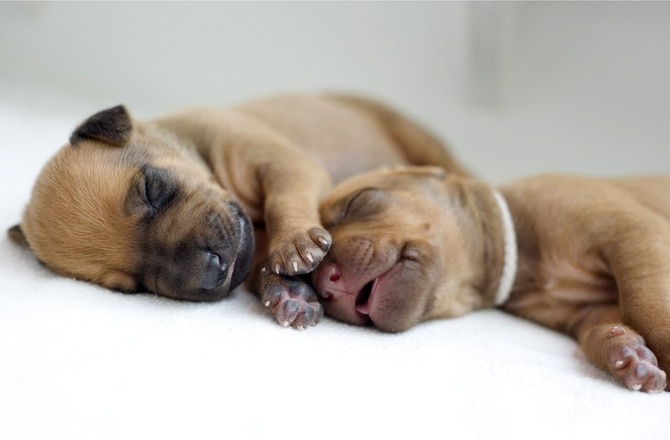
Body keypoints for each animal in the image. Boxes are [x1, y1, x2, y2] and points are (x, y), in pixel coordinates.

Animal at [7, 93, 468, 328]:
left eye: (153, 189)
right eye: (132, 288)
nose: (211, 271)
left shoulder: (283, 162)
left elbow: (285, 199)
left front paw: (295, 243)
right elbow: (263, 268)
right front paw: (289, 293)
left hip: (417, 138)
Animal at [312, 168, 668, 392]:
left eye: (357, 201)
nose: (324, 282)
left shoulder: (632, 234)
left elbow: (645, 306)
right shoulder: (590, 311)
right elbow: (602, 329)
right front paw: (626, 352)